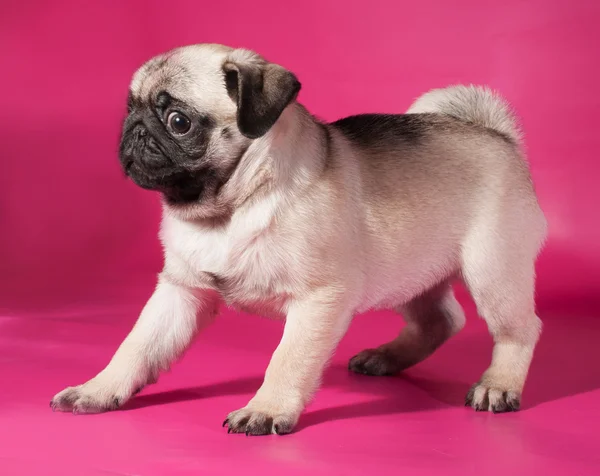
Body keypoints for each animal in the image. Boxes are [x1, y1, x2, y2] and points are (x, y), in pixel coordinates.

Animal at [52, 44, 548, 436]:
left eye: (178, 121)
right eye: (129, 107)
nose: (135, 129)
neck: (225, 211)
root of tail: (495, 134)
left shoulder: (319, 300)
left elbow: (287, 359)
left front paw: (266, 410)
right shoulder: (180, 292)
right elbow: (137, 346)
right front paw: (99, 390)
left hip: (491, 270)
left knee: (518, 330)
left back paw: (498, 385)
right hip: (407, 272)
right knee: (441, 320)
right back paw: (386, 359)